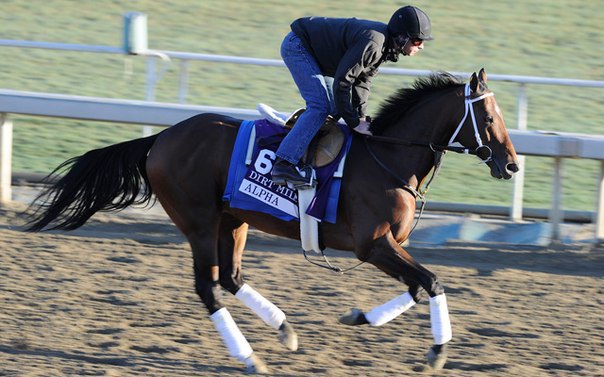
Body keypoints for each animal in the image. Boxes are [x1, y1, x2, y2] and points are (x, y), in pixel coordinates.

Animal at [26, 69, 520, 372]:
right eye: (488, 116)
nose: (512, 165)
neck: (389, 158)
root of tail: (160, 139)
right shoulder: (373, 245)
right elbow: (432, 282)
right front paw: (437, 352)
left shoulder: (388, 247)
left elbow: (419, 287)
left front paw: (359, 316)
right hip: (199, 221)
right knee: (209, 287)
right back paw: (249, 358)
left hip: (234, 221)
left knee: (231, 277)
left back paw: (284, 330)